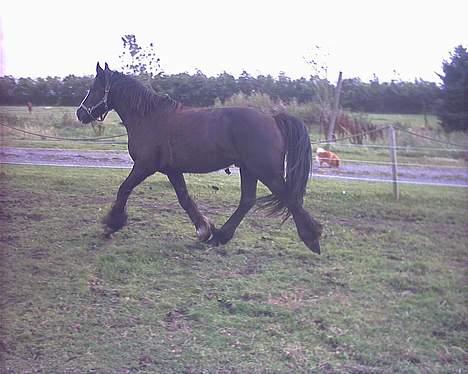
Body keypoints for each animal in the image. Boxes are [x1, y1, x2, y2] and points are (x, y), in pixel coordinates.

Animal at [77, 63, 324, 254]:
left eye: (95, 88)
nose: (80, 113)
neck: (150, 117)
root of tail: (273, 119)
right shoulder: (172, 170)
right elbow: (185, 199)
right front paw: (204, 230)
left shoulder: (144, 166)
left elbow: (124, 189)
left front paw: (112, 224)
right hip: (249, 169)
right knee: (248, 200)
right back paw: (220, 236)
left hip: (265, 171)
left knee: (289, 197)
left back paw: (311, 238)